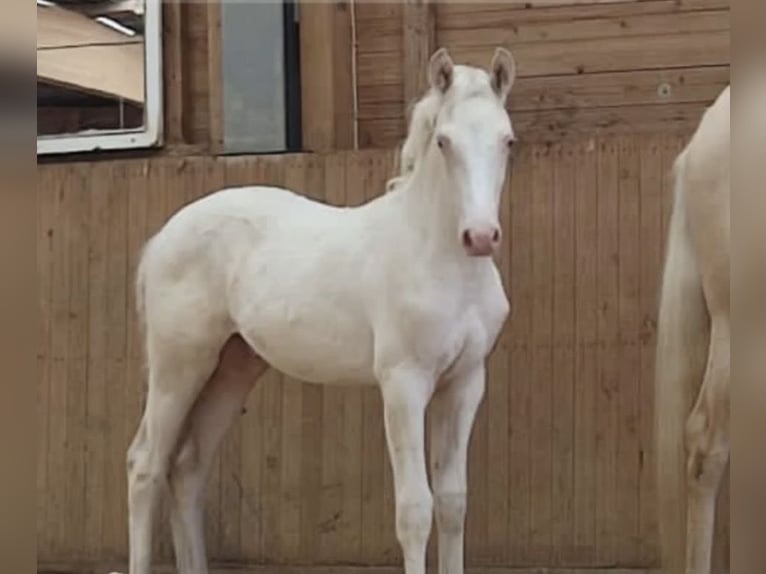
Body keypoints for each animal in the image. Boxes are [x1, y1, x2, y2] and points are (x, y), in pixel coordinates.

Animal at [123, 46, 520, 574]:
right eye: (444, 141)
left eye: (507, 141)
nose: (480, 236)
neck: (436, 257)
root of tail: (162, 237)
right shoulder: (404, 384)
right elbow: (415, 509)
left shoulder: (464, 383)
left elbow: (453, 503)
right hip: (180, 365)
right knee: (146, 464)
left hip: (232, 368)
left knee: (188, 467)